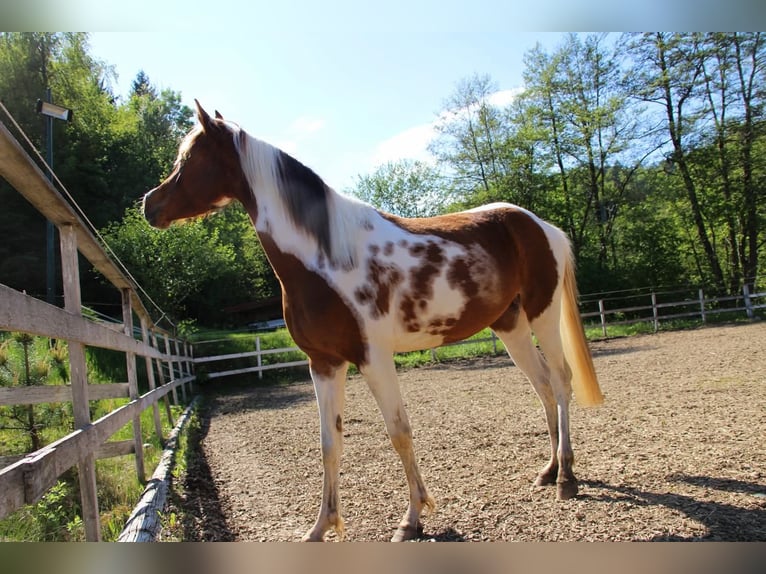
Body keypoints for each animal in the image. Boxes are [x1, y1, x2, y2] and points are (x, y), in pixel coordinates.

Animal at [143, 101, 604, 542]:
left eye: (189, 158)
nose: (149, 205)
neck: (326, 258)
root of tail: (540, 225)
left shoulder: (374, 358)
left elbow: (399, 433)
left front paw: (412, 520)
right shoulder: (324, 363)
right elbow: (329, 444)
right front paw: (321, 527)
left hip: (543, 315)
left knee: (561, 382)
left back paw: (566, 478)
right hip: (511, 326)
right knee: (543, 386)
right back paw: (547, 470)